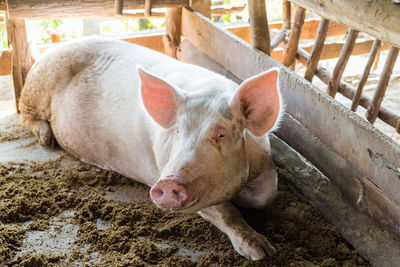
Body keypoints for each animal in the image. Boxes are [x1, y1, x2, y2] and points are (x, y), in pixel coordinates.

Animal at [18, 36, 282, 260]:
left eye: (221, 134)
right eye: (178, 130)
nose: (167, 183)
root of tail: (49, 50)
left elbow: (267, 195)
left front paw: (266, 250)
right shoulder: (165, 167)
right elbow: (226, 211)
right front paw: (261, 252)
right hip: (37, 88)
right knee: (25, 113)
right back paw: (47, 139)